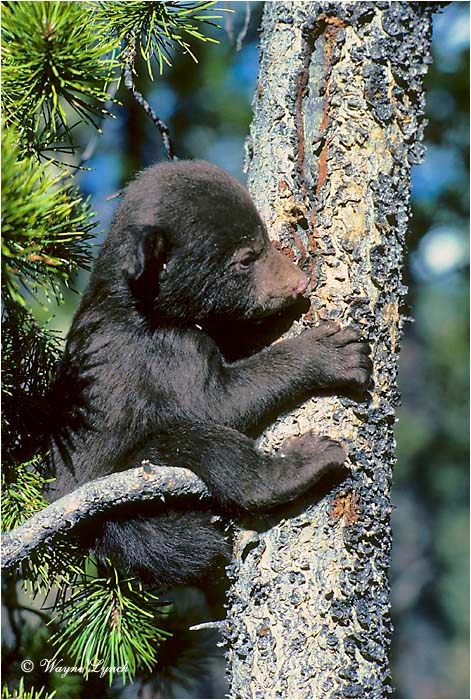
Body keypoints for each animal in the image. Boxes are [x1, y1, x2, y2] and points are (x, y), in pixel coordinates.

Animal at [47, 160, 372, 590]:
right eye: (246, 259)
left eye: (264, 238)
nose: (300, 281)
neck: (145, 306)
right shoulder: (161, 353)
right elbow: (217, 401)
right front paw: (332, 352)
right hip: (130, 485)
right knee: (206, 444)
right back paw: (303, 462)